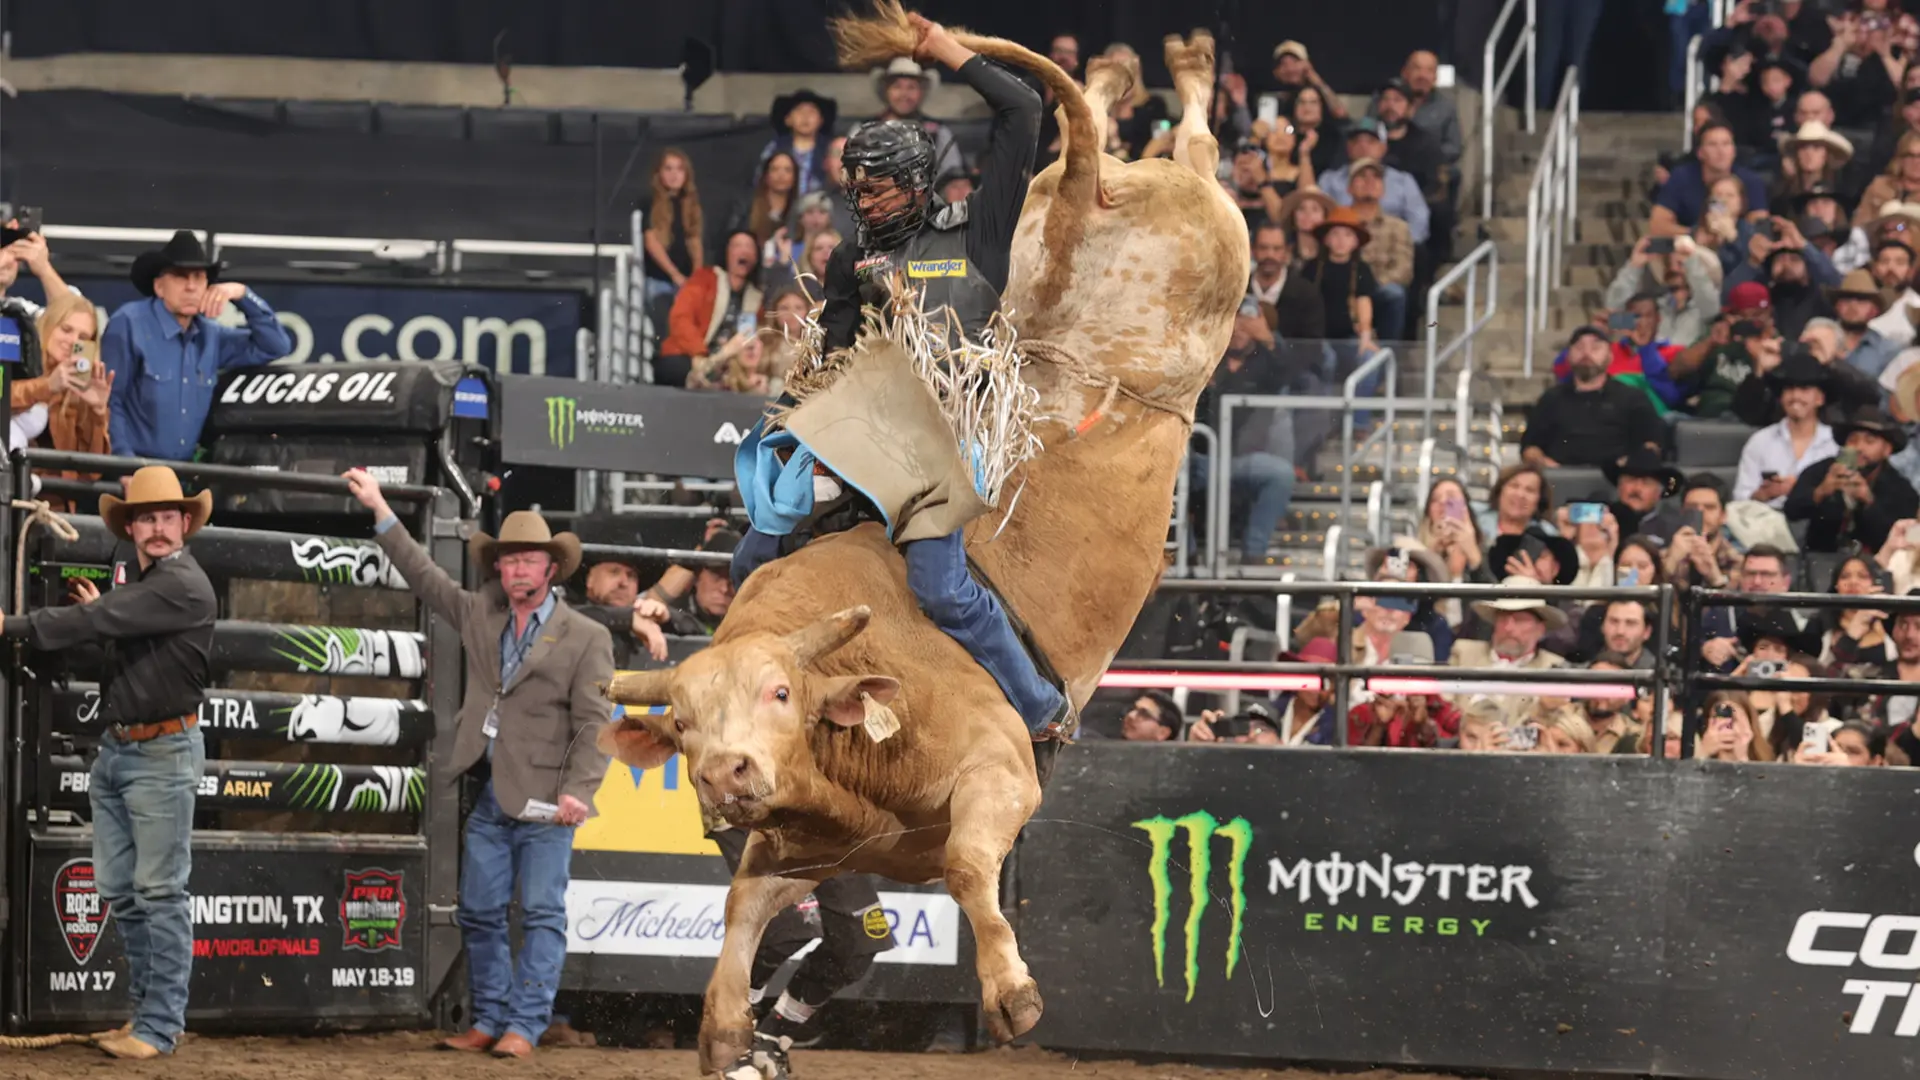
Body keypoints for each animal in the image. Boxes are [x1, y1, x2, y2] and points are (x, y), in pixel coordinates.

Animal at [606, 2, 1251, 1068]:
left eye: (780, 692)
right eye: (683, 723)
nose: (727, 775)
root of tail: (1090, 203)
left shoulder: (998, 777)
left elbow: (963, 869)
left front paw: (1013, 998)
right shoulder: (802, 848)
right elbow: (741, 913)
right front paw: (729, 1030)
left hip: (1210, 254)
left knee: (1175, 144)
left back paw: (1179, 65)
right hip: (1089, 213)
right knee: (1095, 132)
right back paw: (1128, 71)